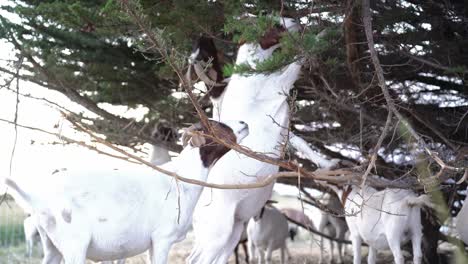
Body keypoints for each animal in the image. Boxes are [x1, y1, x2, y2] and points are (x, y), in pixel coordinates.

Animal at [3, 119, 249, 264]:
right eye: (216, 126)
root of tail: (38, 200)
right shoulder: (163, 239)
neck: (181, 177)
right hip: (74, 245)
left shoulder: (151, 244)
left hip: (51, 246)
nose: (244, 123)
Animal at [186, 17, 336, 262]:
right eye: (272, 22)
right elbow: (296, 63)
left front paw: (328, 163)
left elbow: (304, 145)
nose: (295, 20)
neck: (253, 73)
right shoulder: (281, 85)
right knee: (195, 259)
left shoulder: (285, 132)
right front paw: (323, 35)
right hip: (217, 235)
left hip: (232, 233)